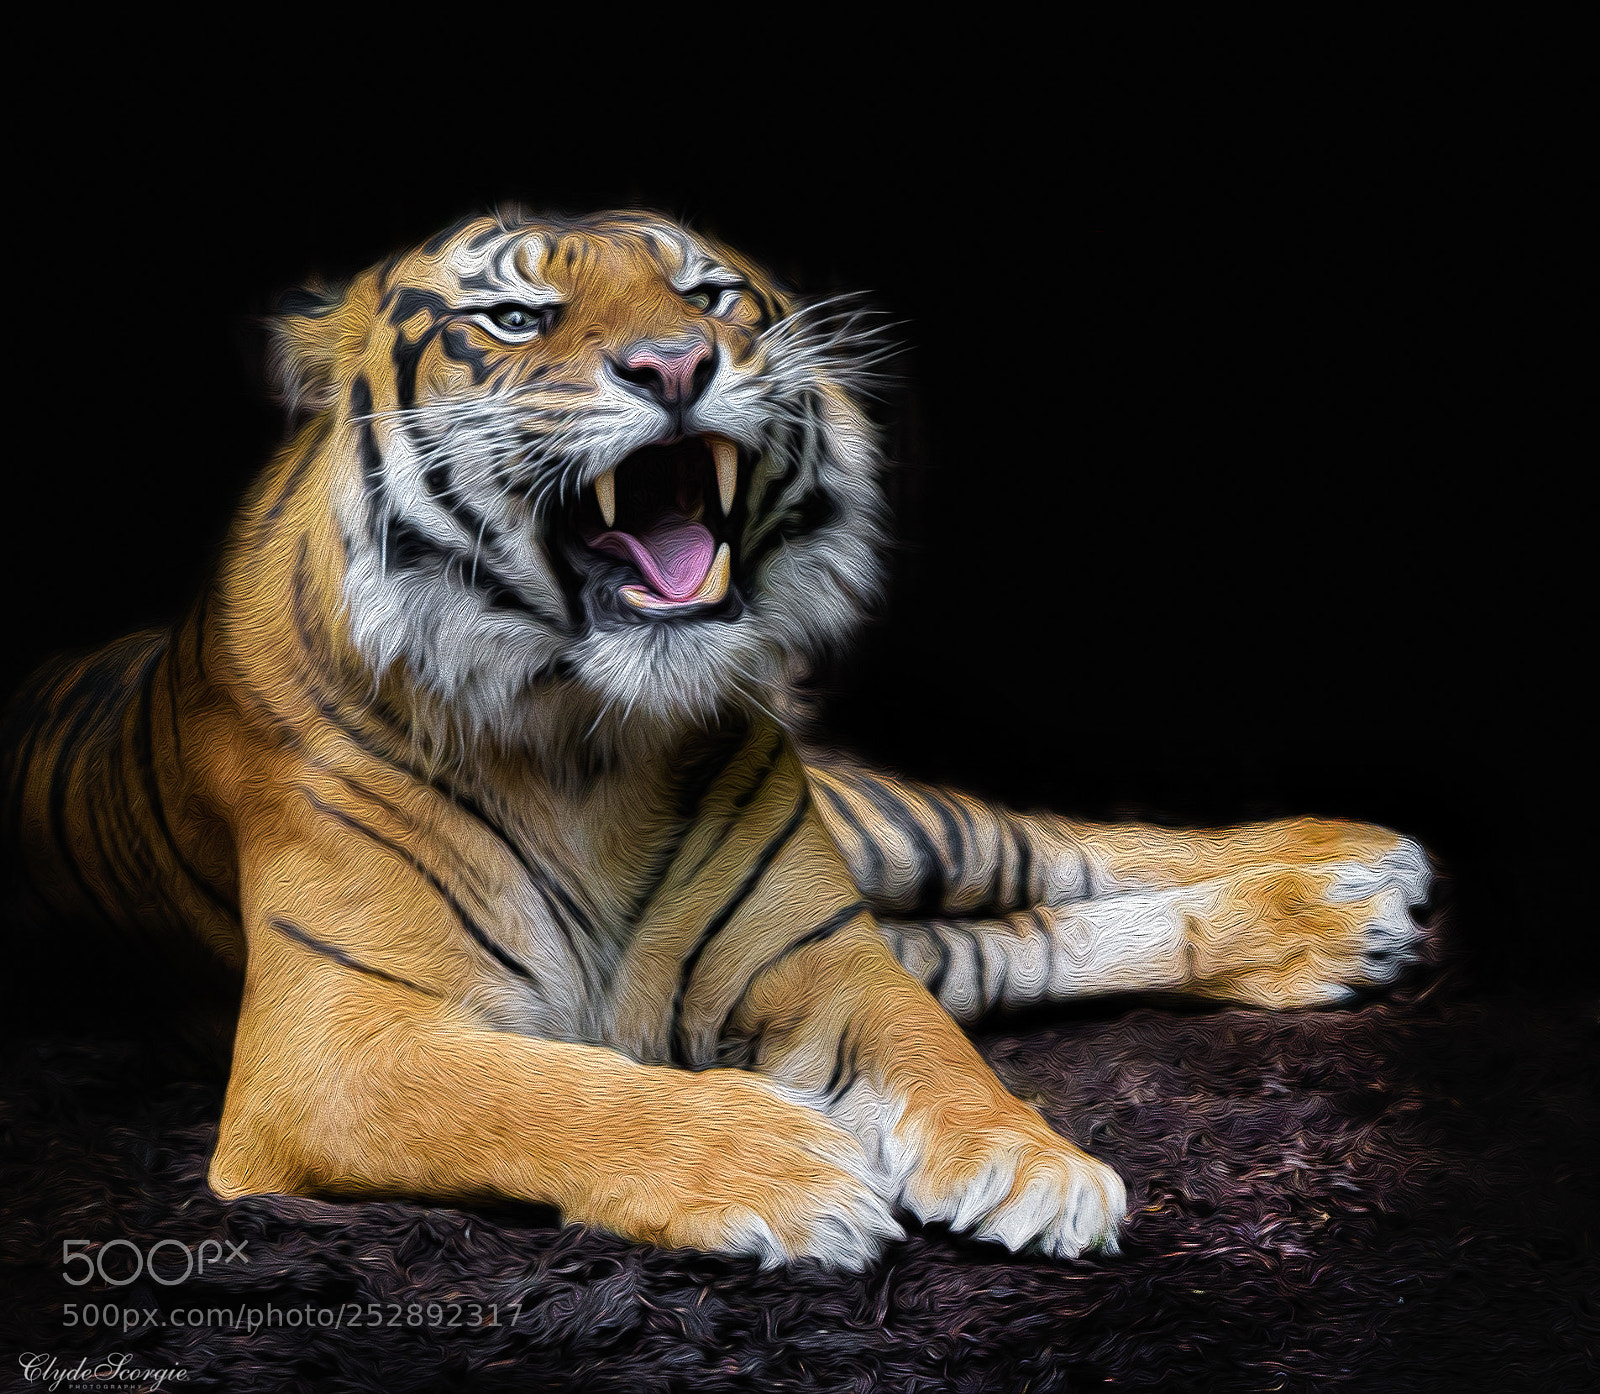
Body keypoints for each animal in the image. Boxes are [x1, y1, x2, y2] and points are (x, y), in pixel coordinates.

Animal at [1, 209, 1434, 1269]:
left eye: (709, 296)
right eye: (513, 319)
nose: (675, 366)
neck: (581, 732)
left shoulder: (820, 950)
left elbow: (934, 1045)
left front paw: (1034, 1158)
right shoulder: (330, 1042)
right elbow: (546, 1087)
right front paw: (784, 1164)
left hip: (889, 832)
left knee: (1058, 853)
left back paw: (1353, 880)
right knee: (1018, 934)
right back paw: (1345, 926)